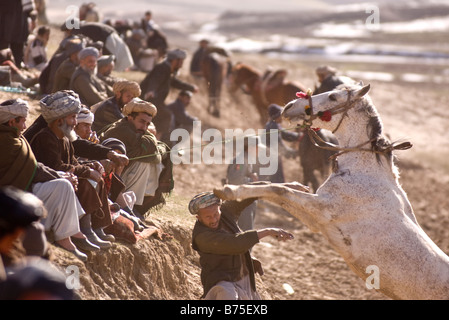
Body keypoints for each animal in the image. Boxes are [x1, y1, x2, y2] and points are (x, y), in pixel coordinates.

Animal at [213, 82, 448, 300]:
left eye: (333, 96)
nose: (289, 106)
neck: (365, 170)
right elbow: (279, 189)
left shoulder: (320, 212)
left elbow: (277, 191)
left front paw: (230, 190)